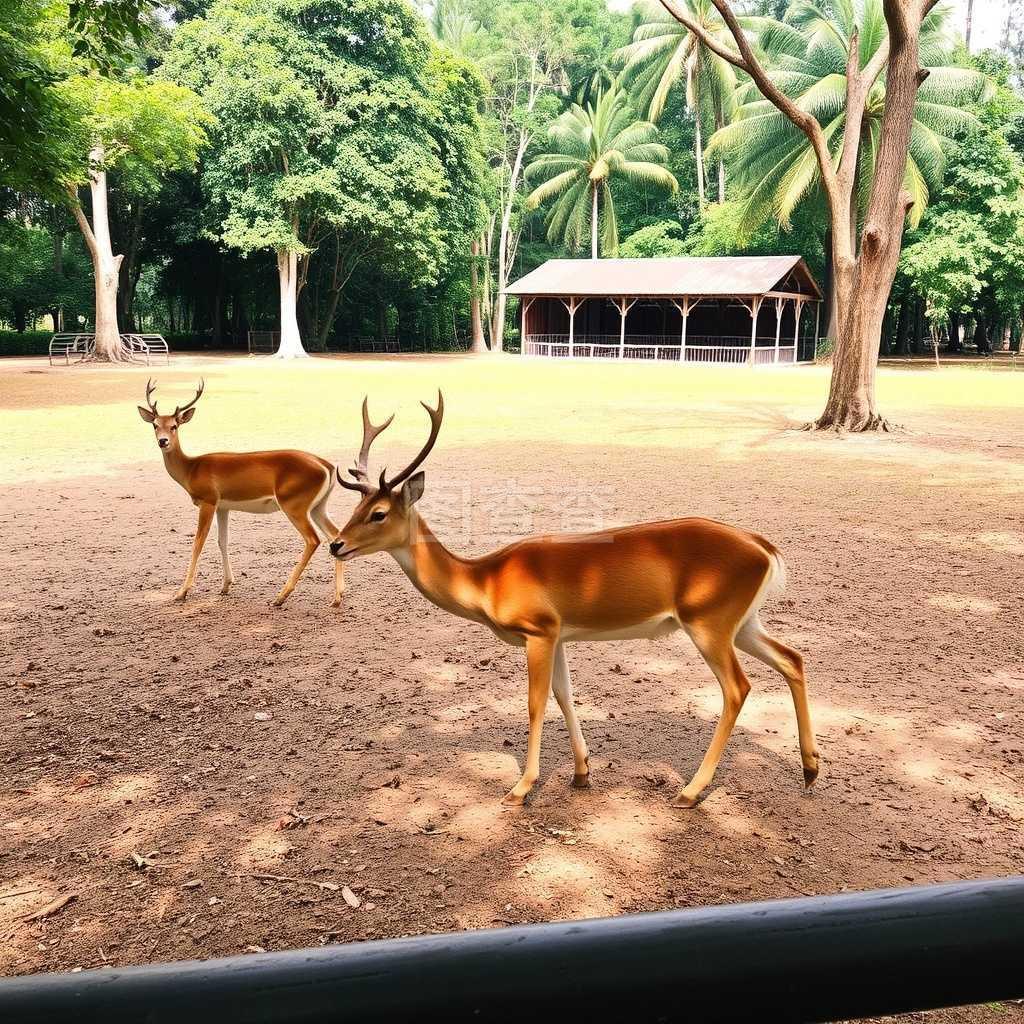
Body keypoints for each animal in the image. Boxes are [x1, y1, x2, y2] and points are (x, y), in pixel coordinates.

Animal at [137, 379, 346, 607]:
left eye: (174, 426)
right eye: (155, 424)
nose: (163, 441)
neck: (192, 468)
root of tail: (326, 465)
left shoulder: (208, 502)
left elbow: (198, 543)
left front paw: (182, 592)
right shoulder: (223, 507)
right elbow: (222, 541)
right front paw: (226, 586)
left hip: (294, 505)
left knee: (313, 539)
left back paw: (281, 596)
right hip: (318, 507)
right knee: (335, 534)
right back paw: (337, 598)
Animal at [329, 393, 820, 809]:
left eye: (379, 514)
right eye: (355, 509)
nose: (336, 544)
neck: (487, 579)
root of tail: (763, 547)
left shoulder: (538, 631)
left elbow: (536, 703)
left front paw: (521, 787)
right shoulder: (560, 634)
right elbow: (565, 695)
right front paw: (582, 772)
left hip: (708, 622)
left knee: (738, 687)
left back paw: (690, 791)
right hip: (743, 622)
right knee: (793, 658)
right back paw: (810, 770)